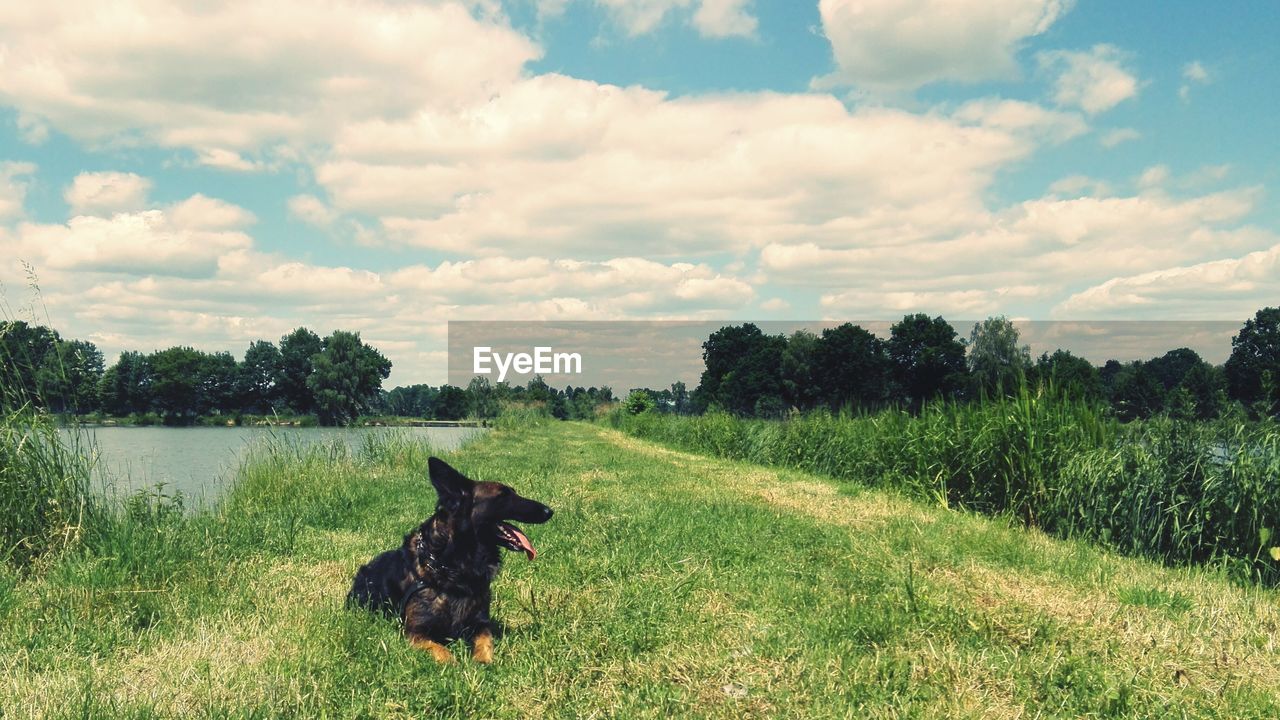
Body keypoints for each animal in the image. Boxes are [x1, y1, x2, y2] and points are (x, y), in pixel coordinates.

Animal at [348, 453, 552, 661]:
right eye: (503, 496)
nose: (549, 511)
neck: (453, 568)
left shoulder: (481, 623)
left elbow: (485, 643)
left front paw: (482, 662)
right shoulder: (416, 631)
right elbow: (441, 650)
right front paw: (454, 664)